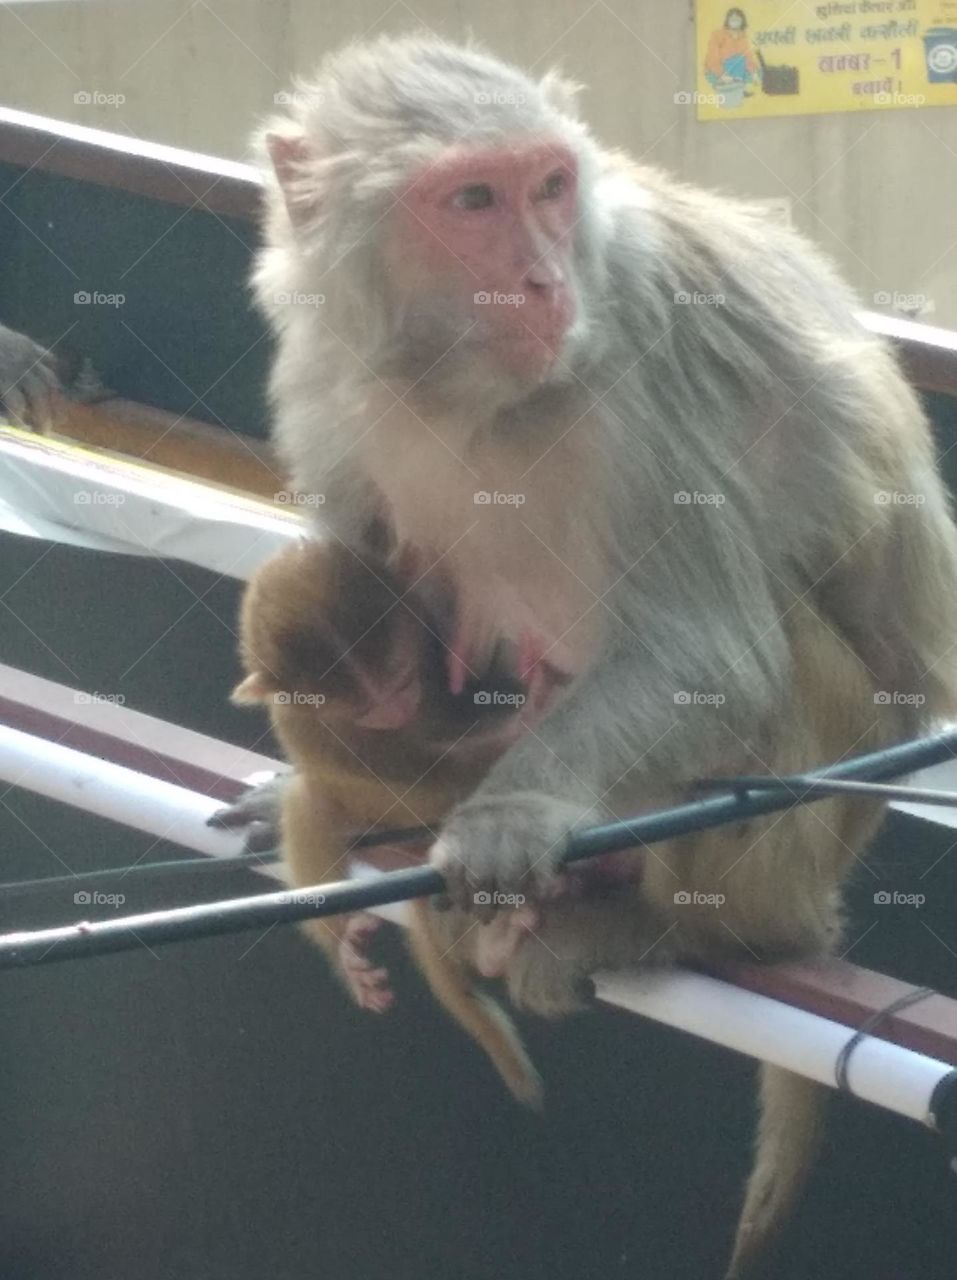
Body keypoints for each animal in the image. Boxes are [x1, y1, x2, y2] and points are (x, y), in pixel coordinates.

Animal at [232, 535, 553, 1108]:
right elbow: (419, 774)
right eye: (367, 707)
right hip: (376, 837)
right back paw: (346, 948)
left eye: (402, 678)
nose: (395, 707)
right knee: (311, 802)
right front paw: (524, 720)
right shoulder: (307, 722)